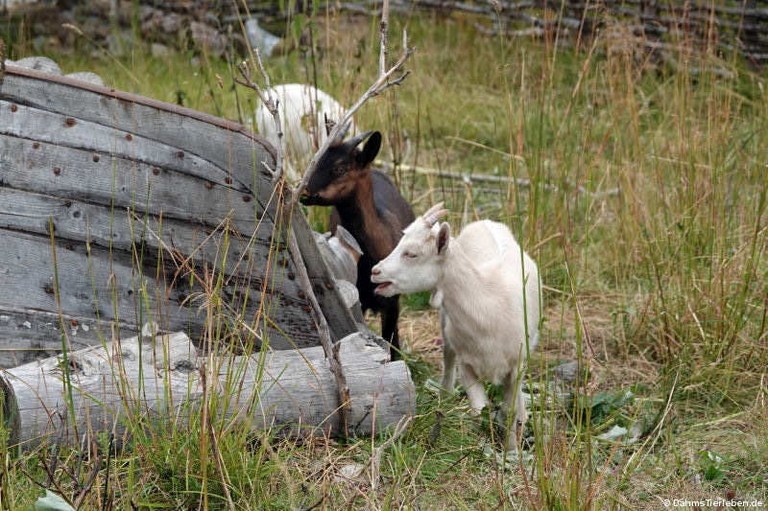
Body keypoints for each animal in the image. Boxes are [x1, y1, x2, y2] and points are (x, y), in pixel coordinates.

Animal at [304, 130, 416, 358]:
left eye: (340, 168)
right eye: (316, 161)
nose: (305, 192)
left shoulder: (392, 301)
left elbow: (392, 345)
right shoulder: (357, 299)